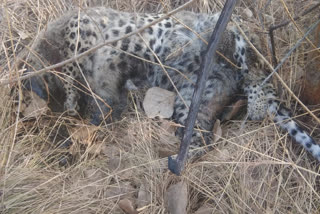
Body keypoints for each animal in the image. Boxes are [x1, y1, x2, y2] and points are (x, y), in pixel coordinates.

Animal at [20, 7, 320, 163]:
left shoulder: (79, 24)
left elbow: (73, 67)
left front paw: (70, 101)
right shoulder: (106, 90)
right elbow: (102, 104)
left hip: (233, 36)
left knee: (257, 73)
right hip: (192, 100)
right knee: (202, 136)